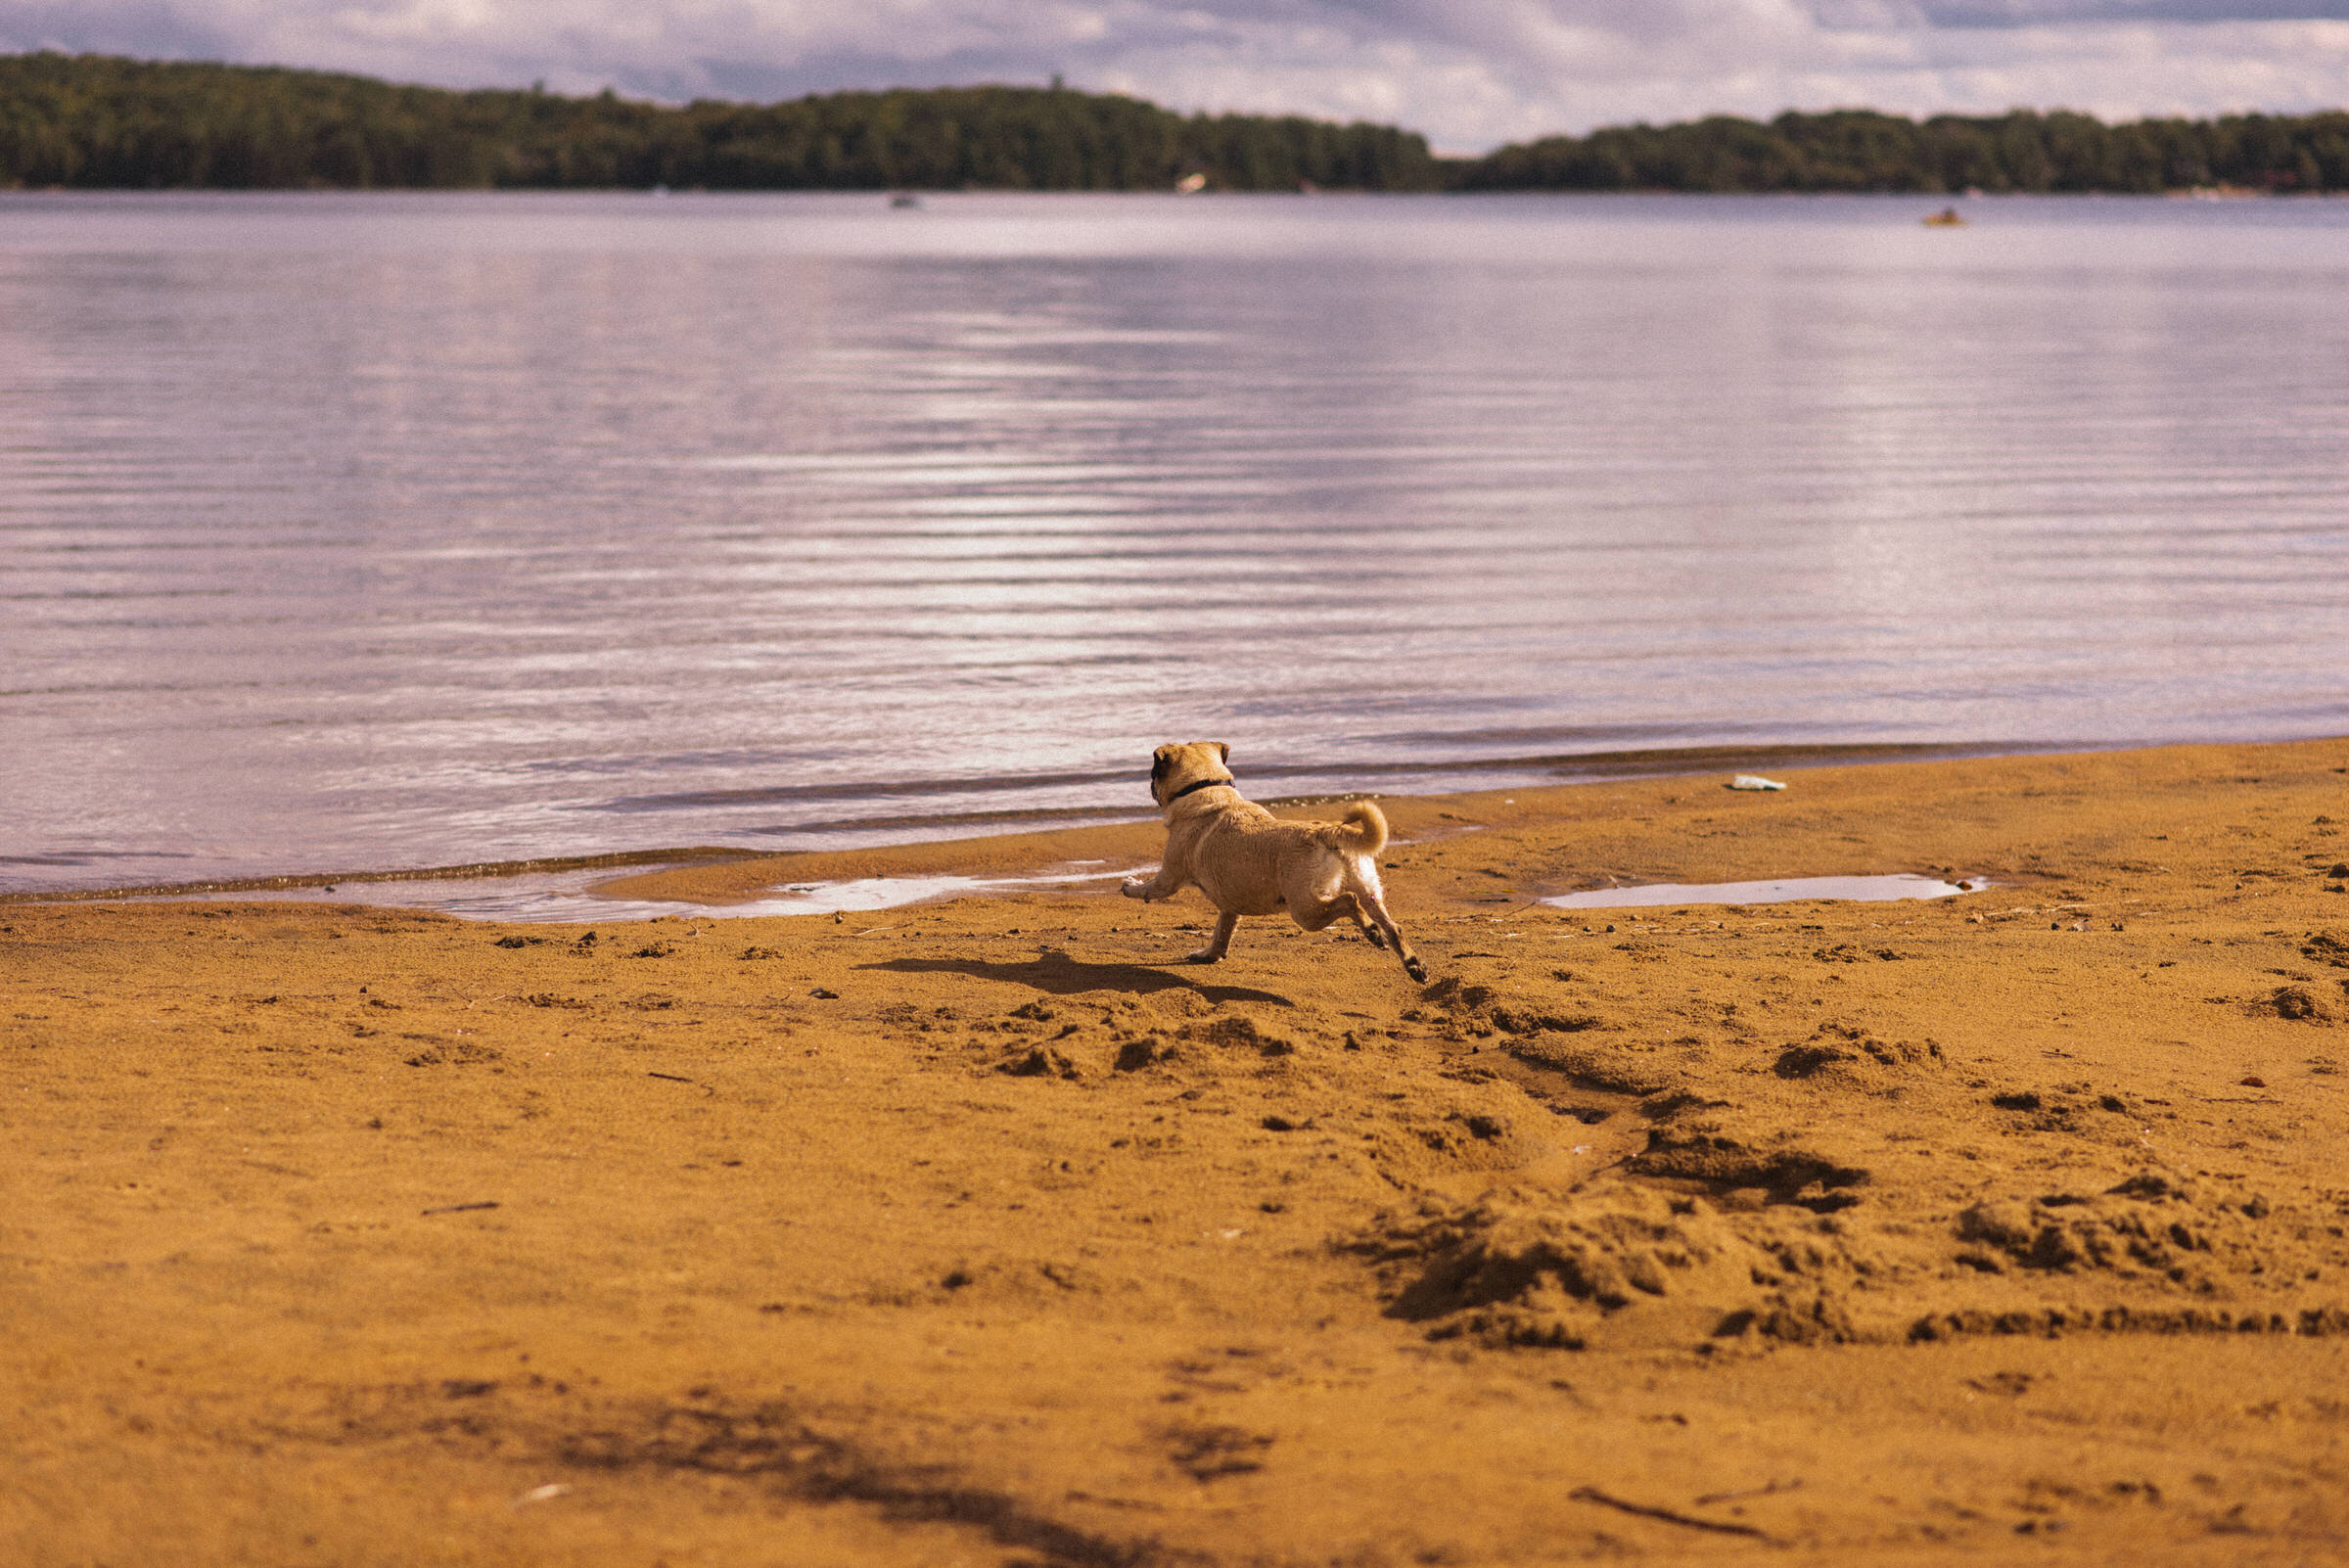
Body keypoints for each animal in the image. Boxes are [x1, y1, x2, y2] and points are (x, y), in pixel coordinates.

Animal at [1123, 737, 1428, 981]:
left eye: (1154, 774)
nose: (1149, 785)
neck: (1206, 788)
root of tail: (1328, 831)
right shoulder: (1229, 905)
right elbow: (1222, 932)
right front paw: (1209, 954)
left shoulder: (1168, 878)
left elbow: (1147, 889)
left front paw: (1129, 885)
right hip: (1368, 889)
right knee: (1392, 926)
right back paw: (1413, 965)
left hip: (1305, 910)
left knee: (1349, 902)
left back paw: (1373, 932)